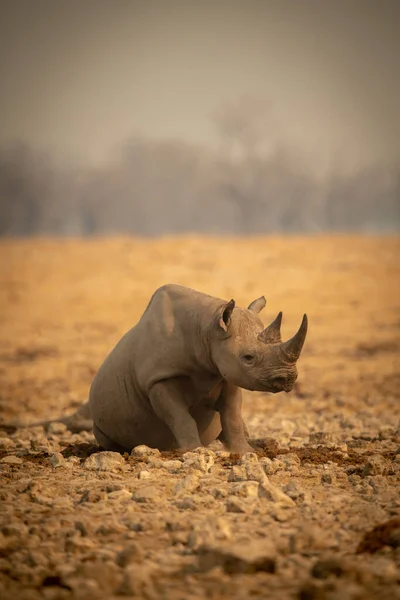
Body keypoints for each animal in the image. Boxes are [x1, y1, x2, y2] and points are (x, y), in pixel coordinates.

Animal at [0, 284, 310, 452]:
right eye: (248, 357)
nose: (288, 379)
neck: (206, 329)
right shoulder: (158, 378)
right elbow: (179, 415)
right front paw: (194, 450)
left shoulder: (227, 373)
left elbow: (232, 414)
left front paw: (245, 452)